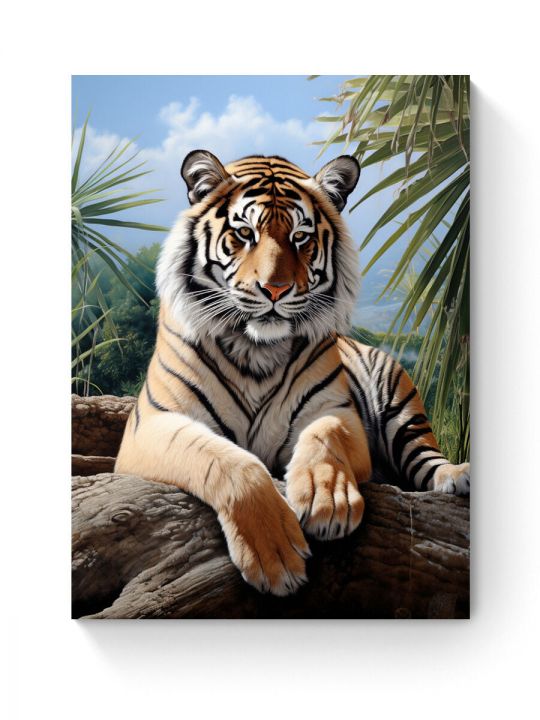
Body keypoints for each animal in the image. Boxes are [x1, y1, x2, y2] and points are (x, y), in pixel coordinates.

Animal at [115, 149, 470, 597]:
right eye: (244, 233)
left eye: (301, 237)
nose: (275, 289)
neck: (255, 349)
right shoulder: (152, 426)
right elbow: (226, 459)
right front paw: (276, 558)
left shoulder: (336, 410)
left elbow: (325, 437)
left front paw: (327, 500)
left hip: (400, 402)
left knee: (425, 458)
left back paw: (458, 476)